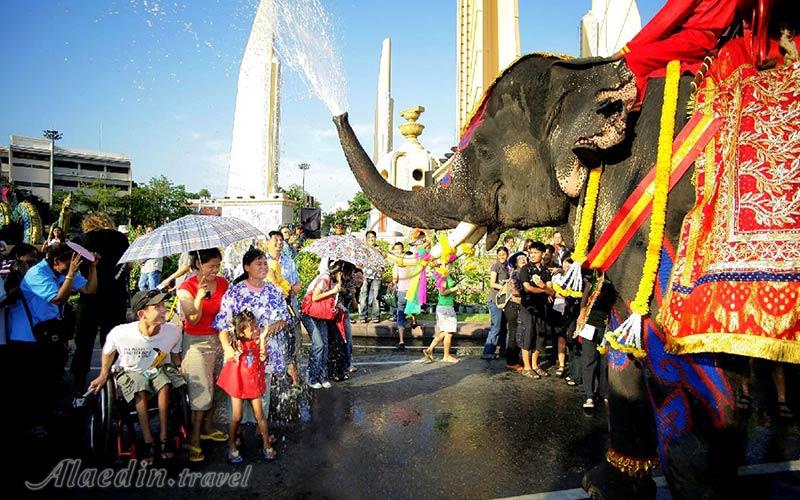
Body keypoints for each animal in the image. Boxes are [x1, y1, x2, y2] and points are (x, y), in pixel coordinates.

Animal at [332, 52, 788, 498]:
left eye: (483, 152)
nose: (340, 113)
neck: (589, 72)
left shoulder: (670, 236)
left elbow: (677, 356)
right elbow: (623, 339)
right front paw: (604, 487)